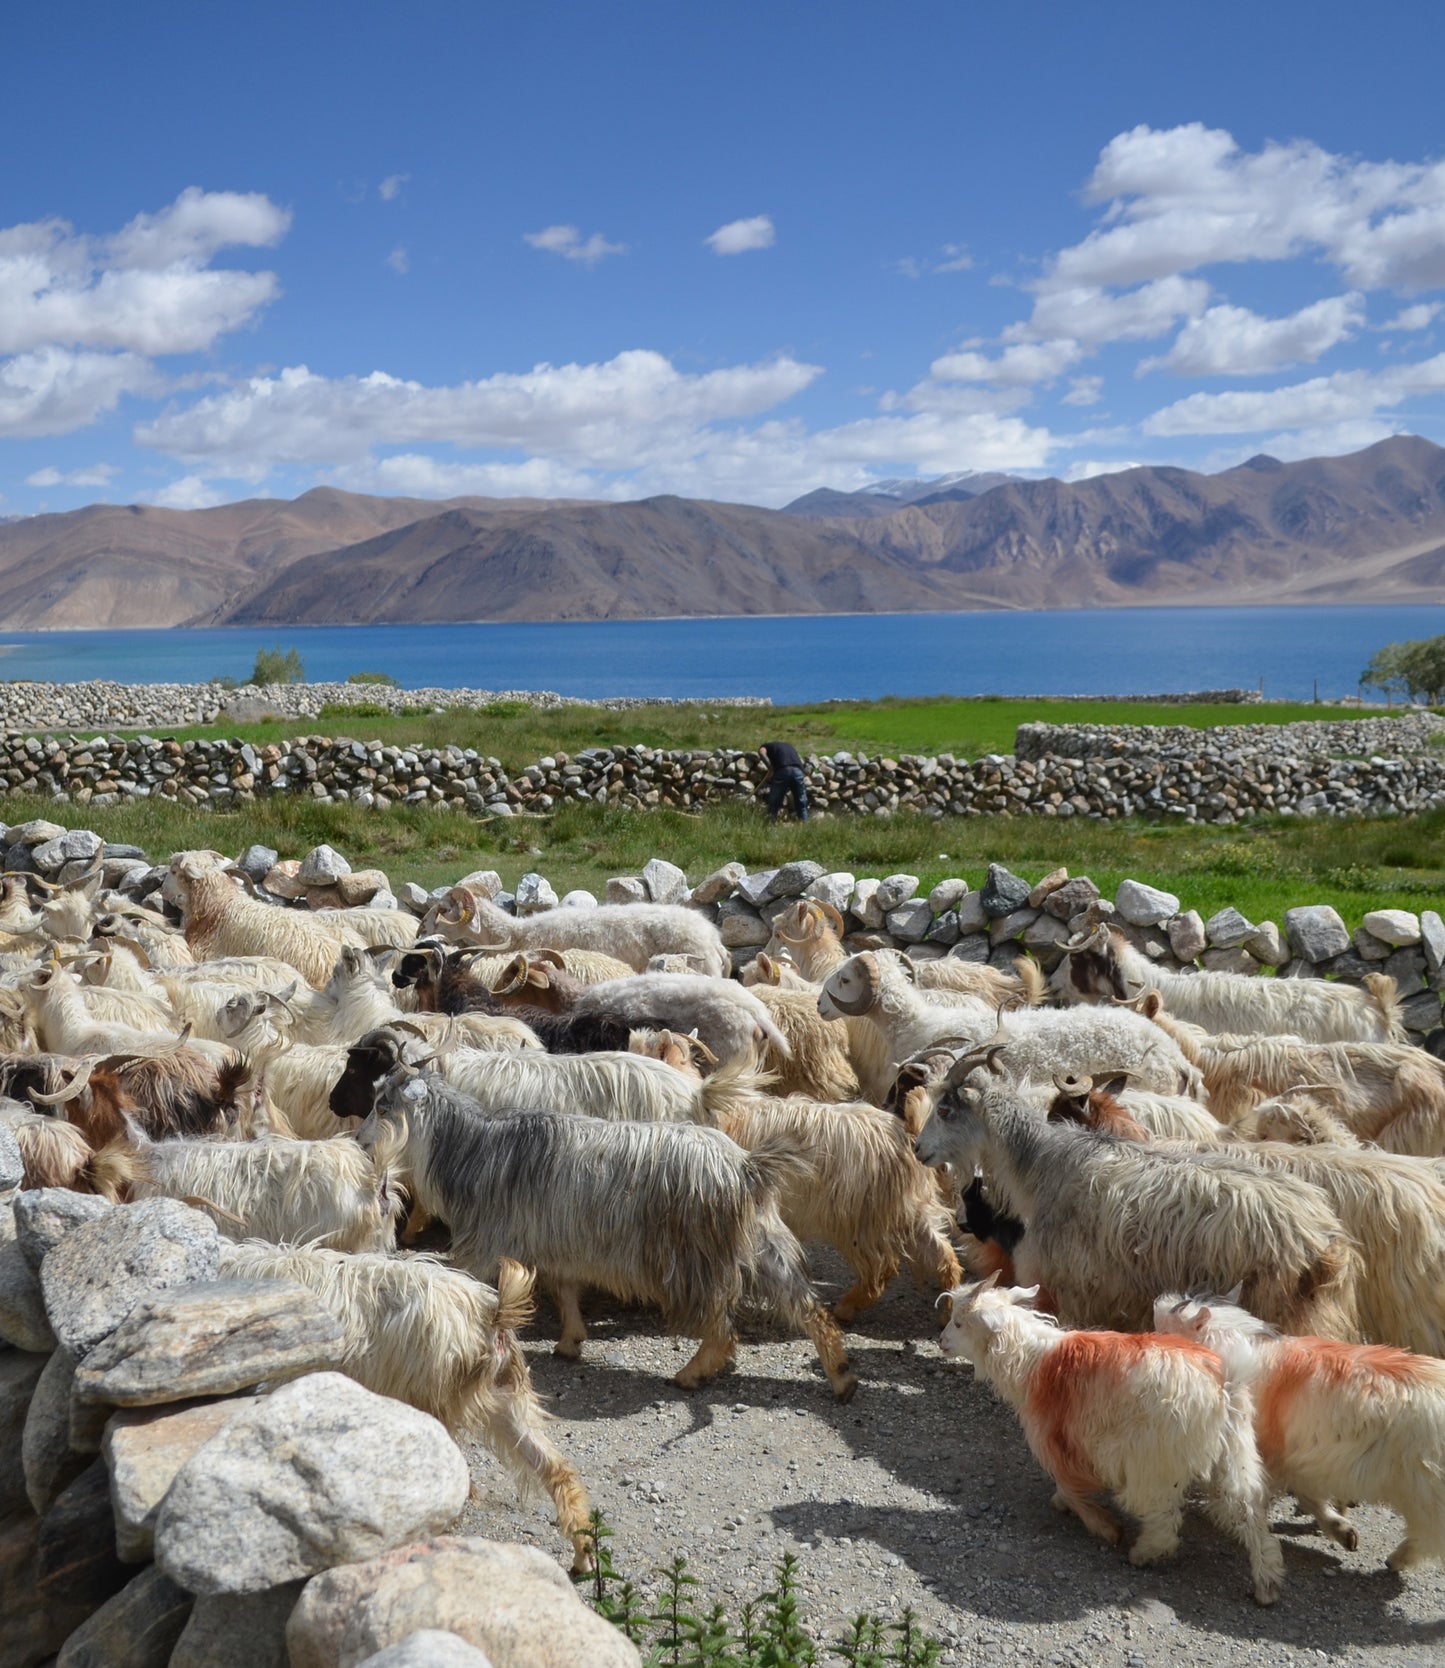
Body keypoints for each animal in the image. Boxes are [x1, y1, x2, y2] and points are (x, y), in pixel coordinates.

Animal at [941, 1274, 1281, 1601]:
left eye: (959, 1322)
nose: (941, 1341)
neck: (1031, 1361)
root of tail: (1223, 1380)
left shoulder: (1055, 1437)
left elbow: (1068, 1484)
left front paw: (1101, 1525)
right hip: (1236, 1451)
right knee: (1248, 1506)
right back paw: (1266, 1584)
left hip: (1153, 1460)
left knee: (1164, 1519)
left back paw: (1143, 1553)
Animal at [1154, 1287, 1441, 1574]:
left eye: (1167, 1330)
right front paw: (1342, 1529)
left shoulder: (1278, 1457)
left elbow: (1303, 1496)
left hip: (1424, 1493)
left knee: (1427, 1537)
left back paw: (1398, 1558)